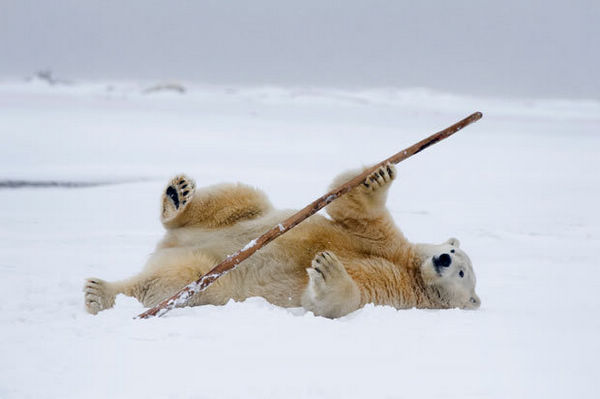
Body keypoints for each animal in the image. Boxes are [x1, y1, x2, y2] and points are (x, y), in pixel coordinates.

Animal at [84, 163, 480, 318]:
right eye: (453, 250)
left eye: (462, 273)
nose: (444, 259)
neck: (411, 269)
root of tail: (173, 244)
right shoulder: (391, 242)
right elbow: (357, 214)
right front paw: (379, 176)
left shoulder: (394, 292)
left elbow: (336, 301)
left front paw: (327, 267)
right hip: (237, 219)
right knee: (237, 198)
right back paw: (177, 196)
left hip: (210, 276)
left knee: (170, 282)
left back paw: (99, 293)